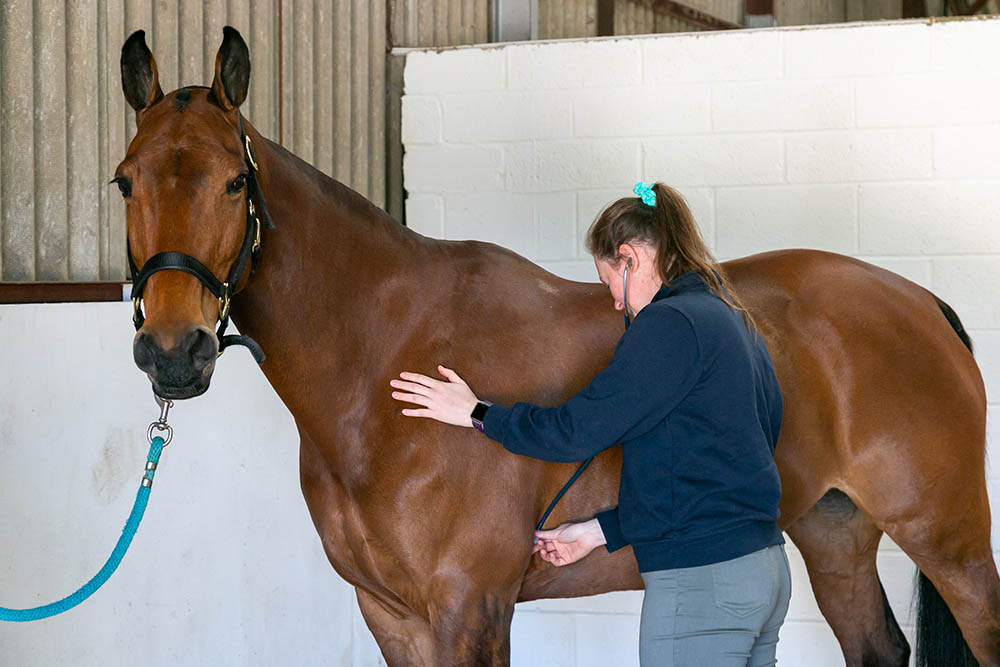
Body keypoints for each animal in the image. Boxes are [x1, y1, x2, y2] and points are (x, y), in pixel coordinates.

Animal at [115, 27, 992, 667]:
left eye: (235, 181)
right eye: (126, 180)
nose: (174, 351)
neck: (382, 365)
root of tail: (921, 301)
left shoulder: (469, 608)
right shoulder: (391, 614)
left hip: (949, 541)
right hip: (833, 530)